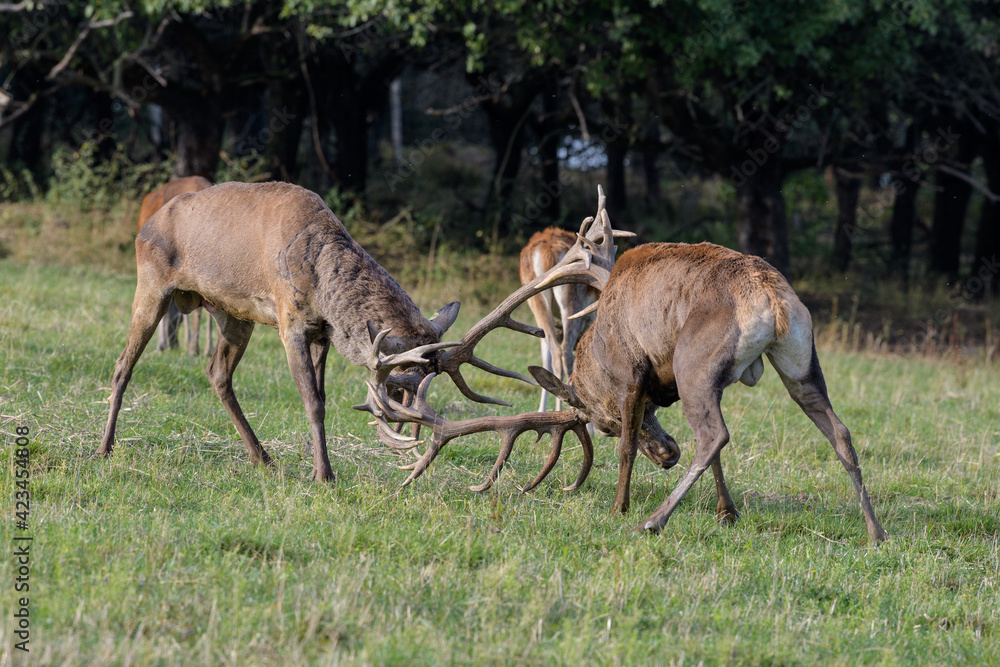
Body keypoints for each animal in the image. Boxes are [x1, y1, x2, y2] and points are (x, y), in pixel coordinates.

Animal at [520, 228, 600, 412]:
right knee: (565, 352)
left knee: (554, 354)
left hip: (538, 303)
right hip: (571, 301)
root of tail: (548, 251)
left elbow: (545, 360)